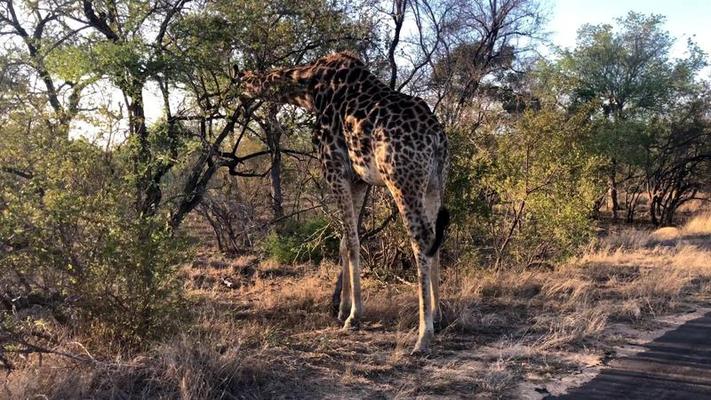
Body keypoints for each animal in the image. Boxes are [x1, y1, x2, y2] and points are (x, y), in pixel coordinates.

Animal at [238, 50, 450, 354]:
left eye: (238, 84)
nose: (241, 101)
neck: (309, 88)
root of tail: (436, 137)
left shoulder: (334, 169)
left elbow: (350, 241)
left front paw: (354, 315)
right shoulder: (359, 179)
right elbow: (345, 240)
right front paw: (342, 309)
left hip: (402, 179)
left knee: (421, 238)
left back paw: (423, 335)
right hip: (435, 179)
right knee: (436, 235)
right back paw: (437, 314)